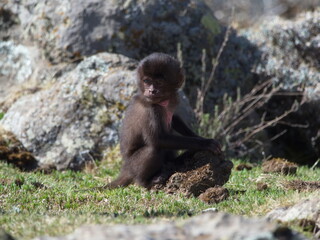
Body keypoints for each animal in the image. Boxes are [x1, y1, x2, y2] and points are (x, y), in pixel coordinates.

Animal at [109, 52, 221, 189]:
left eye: (159, 82)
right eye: (147, 81)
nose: (151, 90)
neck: (162, 101)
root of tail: (125, 168)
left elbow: (174, 119)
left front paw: (200, 138)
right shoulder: (150, 109)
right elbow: (158, 139)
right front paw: (205, 143)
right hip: (133, 165)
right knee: (153, 148)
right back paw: (144, 182)